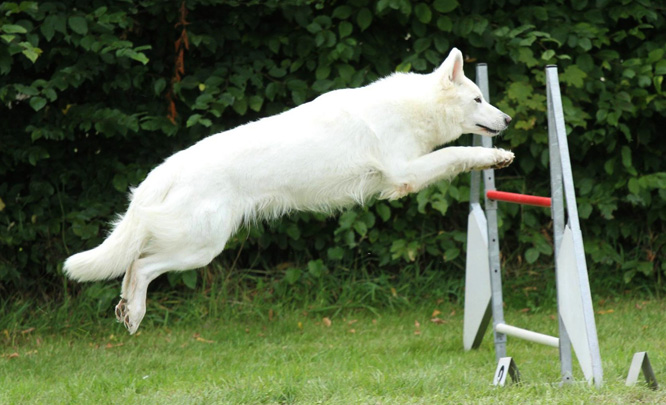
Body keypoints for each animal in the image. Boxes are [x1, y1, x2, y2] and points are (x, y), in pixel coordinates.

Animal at [63, 47, 512, 332]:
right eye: (478, 99)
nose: (507, 120)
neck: (414, 107)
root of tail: (168, 168)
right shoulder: (407, 174)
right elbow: (458, 152)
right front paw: (496, 156)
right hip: (200, 248)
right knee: (141, 266)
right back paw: (136, 313)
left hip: (194, 245)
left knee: (130, 264)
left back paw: (127, 310)